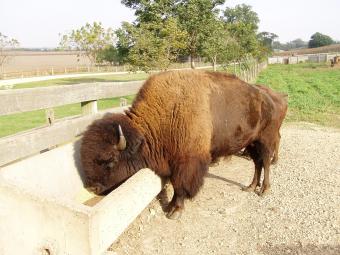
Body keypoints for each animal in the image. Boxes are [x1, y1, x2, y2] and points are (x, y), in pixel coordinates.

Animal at [81, 69, 288, 219]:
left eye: (110, 160)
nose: (92, 188)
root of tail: (271, 98)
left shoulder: (187, 162)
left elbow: (181, 186)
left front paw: (175, 211)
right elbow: (175, 184)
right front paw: (172, 207)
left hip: (265, 140)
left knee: (266, 162)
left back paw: (264, 190)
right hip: (252, 143)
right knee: (257, 164)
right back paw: (250, 186)